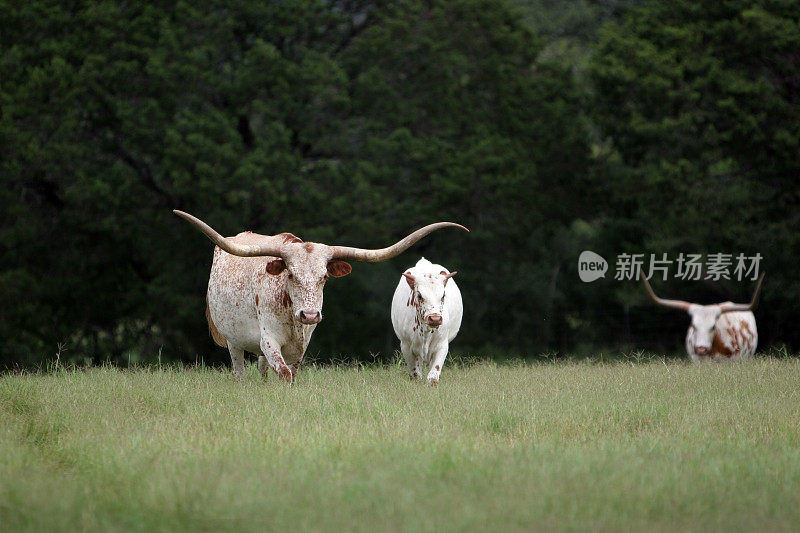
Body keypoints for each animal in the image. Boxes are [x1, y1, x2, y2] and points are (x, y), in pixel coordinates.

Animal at [172, 209, 466, 382]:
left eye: (324, 277)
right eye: (290, 274)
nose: (310, 314)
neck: (291, 317)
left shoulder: (302, 344)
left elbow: (291, 372)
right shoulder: (269, 339)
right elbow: (284, 373)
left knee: (262, 369)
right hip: (233, 339)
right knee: (239, 370)